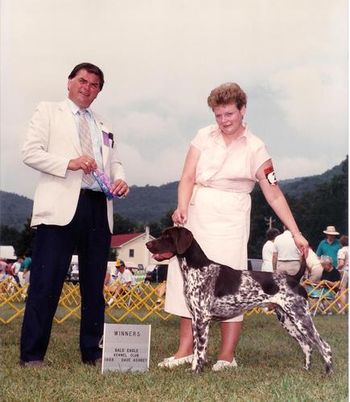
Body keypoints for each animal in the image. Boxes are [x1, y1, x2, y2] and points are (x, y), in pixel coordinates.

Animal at [146, 226, 332, 374]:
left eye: (166, 235)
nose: (148, 244)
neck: (197, 268)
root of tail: (294, 278)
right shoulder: (194, 319)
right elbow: (197, 349)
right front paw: (194, 368)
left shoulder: (202, 319)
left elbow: (199, 351)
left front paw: (196, 372)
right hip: (287, 320)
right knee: (307, 345)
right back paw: (306, 370)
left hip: (301, 318)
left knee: (324, 346)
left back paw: (328, 373)